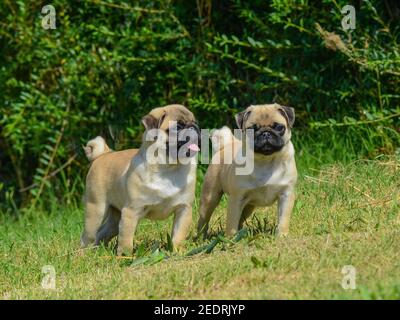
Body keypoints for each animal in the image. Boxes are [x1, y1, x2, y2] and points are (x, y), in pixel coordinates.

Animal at [81, 104, 200, 255]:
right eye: (178, 127)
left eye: (195, 122)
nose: (194, 127)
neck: (168, 167)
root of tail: (103, 154)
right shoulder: (132, 211)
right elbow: (126, 240)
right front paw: (125, 257)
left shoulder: (184, 209)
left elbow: (178, 235)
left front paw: (177, 252)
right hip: (97, 210)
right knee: (88, 236)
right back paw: (82, 254)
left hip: (116, 216)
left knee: (103, 232)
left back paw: (97, 251)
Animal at [197, 103, 296, 238]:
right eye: (252, 129)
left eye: (279, 127)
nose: (266, 133)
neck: (266, 161)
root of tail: (225, 145)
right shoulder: (236, 199)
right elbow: (231, 223)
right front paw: (230, 239)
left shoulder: (286, 195)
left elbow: (283, 220)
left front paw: (282, 236)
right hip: (209, 198)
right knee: (204, 220)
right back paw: (201, 237)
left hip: (248, 206)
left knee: (240, 219)